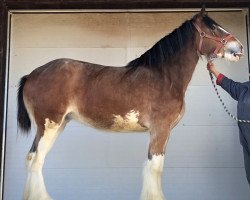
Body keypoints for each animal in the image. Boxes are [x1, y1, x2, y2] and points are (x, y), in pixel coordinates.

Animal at [17, 7, 244, 200]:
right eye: (212, 27)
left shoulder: (164, 132)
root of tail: (32, 74)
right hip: (49, 125)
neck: (164, 77)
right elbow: (154, 168)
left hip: (58, 125)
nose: (239, 47)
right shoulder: (160, 130)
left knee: (33, 158)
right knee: (36, 161)